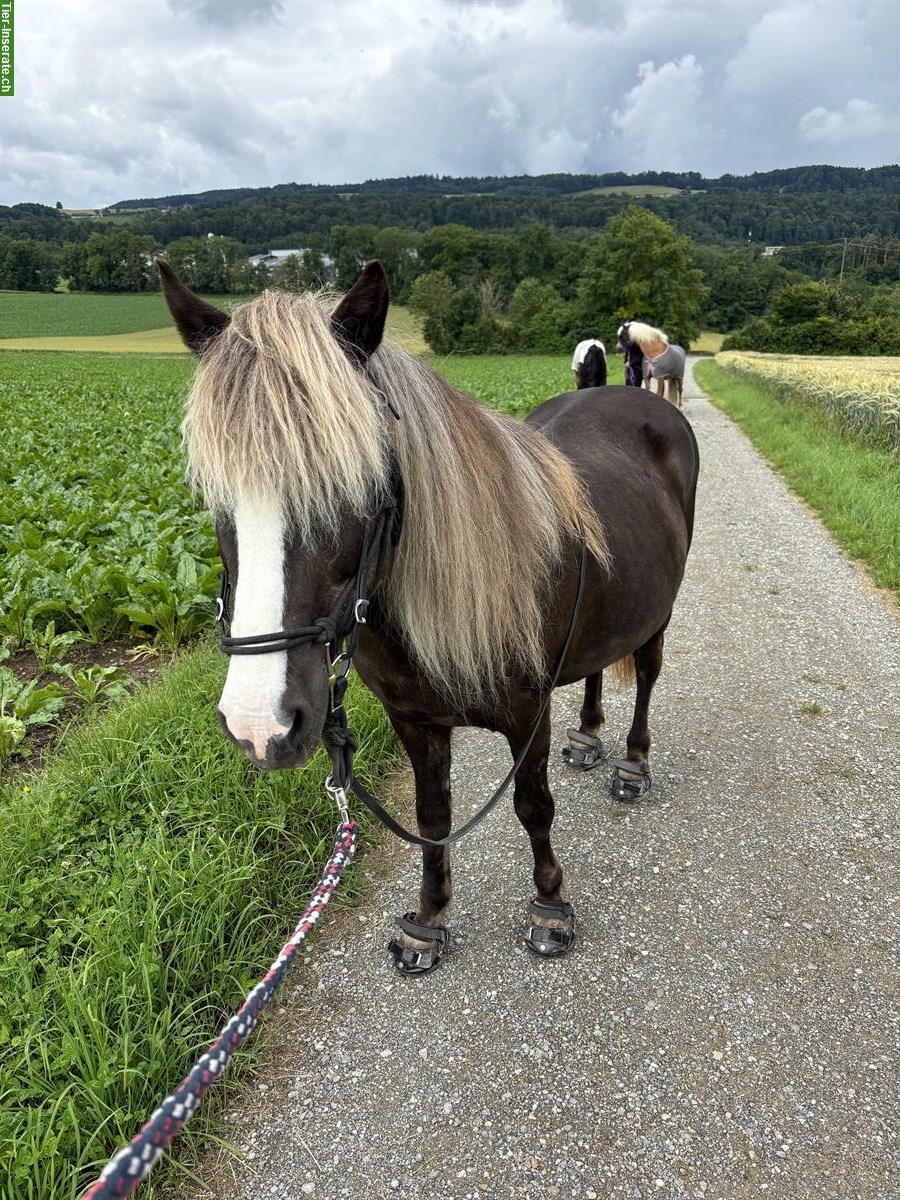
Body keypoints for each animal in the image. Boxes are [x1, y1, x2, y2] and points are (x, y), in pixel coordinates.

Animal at [158, 258, 700, 969]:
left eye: (355, 483)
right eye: (214, 495)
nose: (260, 724)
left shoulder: (527, 714)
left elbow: (533, 805)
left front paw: (550, 905)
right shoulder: (413, 720)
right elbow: (432, 815)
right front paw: (430, 916)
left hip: (658, 617)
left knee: (648, 675)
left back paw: (633, 763)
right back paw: (587, 735)